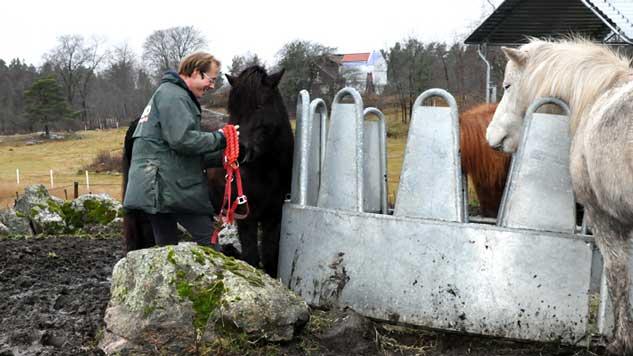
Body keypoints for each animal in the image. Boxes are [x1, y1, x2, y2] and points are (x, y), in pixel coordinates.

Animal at [123, 65, 294, 278]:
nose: (240, 151)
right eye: (233, 109)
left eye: (259, 106)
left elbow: (271, 259)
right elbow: (252, 258)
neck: (267, 170)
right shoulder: (246, 219)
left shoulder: (274, 217)